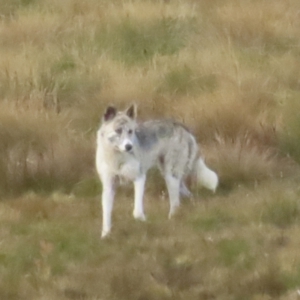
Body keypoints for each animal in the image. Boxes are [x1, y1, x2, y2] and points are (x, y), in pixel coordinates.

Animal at [96, 104, 218, 238]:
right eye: (118, 130)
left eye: (130, 131)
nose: (129, 147)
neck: (117, 158)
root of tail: (180, 125)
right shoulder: (109, 186)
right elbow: (106, 215)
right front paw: (105, 235)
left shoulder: (139, 178)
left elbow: (137, 212)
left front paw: (144, 221)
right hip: (171, 176)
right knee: (186, 195)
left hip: (170, 177)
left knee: (175, 203)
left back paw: (172, 220)